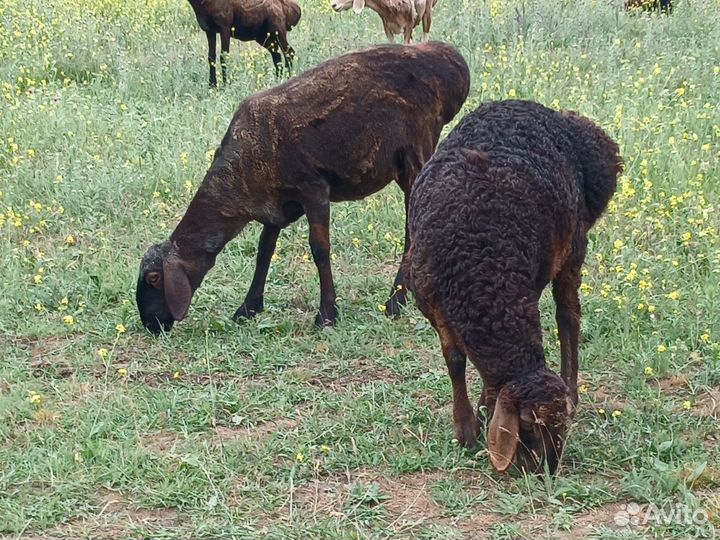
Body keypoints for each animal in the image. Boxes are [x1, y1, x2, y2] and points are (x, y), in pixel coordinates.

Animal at [136, 41, 470, 334]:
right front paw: (249, 307)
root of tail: (452, 61)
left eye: (153, 278)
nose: (151, 326)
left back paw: (395, 301)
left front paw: (327, 315)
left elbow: (319, 249)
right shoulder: (277, 202)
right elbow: (264, 250)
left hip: (415, 153)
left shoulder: (313, 188)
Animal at [406, 100, 622, 474]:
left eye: (561, 427)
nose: (546, 470)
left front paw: (482, 410)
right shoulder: (432, 302)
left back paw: (573, 388)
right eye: (528, 425)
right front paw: (467, 426)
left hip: (573, 246)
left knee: (568, 317)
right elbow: (455, 360)